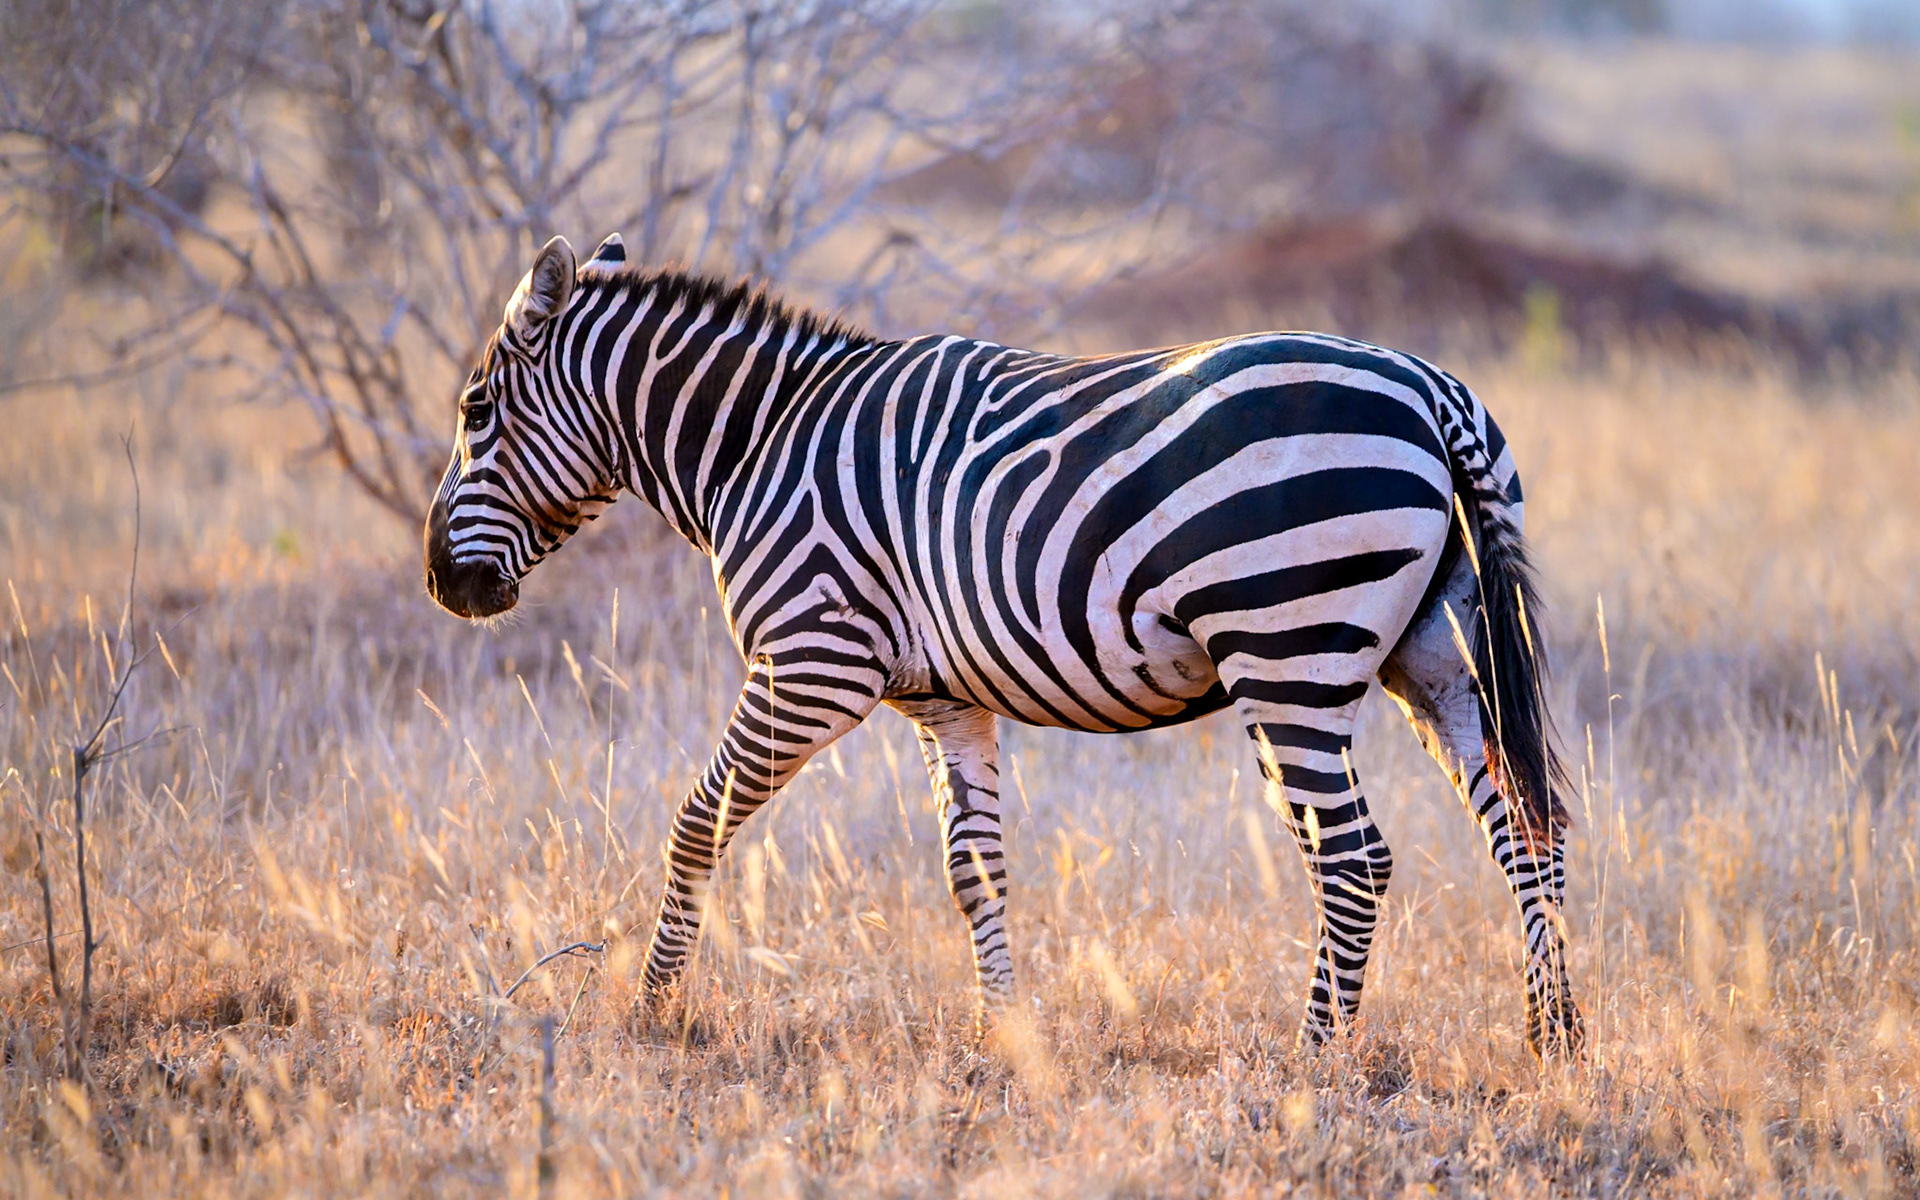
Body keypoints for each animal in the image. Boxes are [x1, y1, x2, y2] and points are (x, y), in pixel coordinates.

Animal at [424, 234, 1582, 1056]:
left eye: (475, 411)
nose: (442, 584)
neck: (760, 442)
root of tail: (1430, 387)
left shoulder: (812, 661)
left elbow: (697, 822)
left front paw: (652, 1009)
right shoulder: (948, 698)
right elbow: (975, 869)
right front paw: (1002, 1033)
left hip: (1285, 653)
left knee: (1352, 856)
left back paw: (1311, 1059)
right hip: (1440, 656)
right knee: (1530, 830)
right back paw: (1555, 1038)